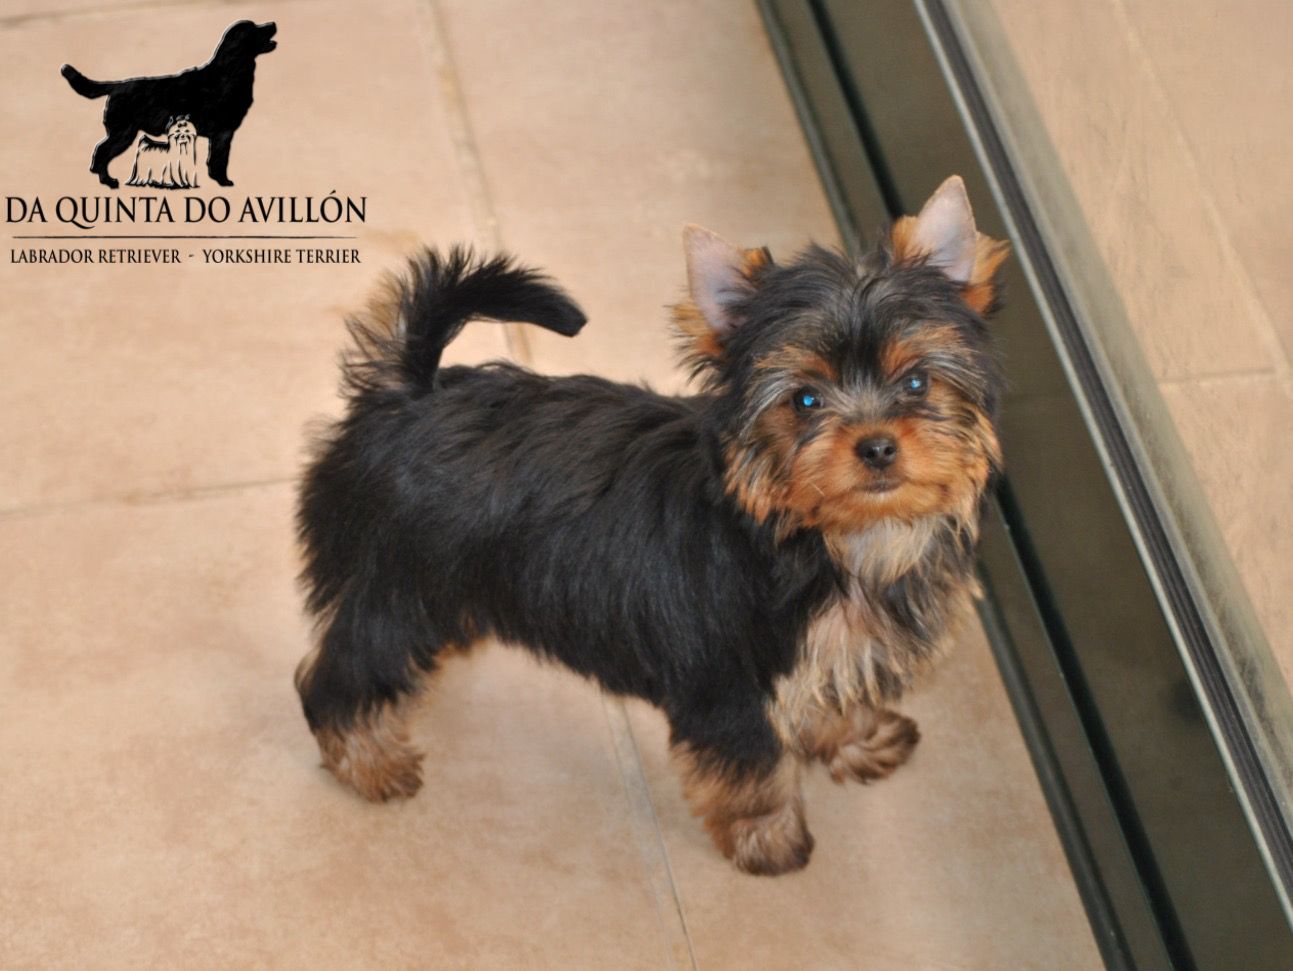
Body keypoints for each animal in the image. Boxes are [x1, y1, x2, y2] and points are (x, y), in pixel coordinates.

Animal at [61, 19, 276, 189]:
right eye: (254, 28)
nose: (273, 23)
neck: (229, 73)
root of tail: (117, 86)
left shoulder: (221, 134)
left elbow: (214, 160)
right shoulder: (223, 132)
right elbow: (219, 160)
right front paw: (223, 181)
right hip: (123, 133)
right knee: (101, 153)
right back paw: (109, 182)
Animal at [294, 176, 1008, 875]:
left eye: (917, 383)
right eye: (805, 400)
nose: (877, 446)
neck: (819, 532)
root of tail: (408, 391)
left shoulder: (830, 650)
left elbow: (832, 694)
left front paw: (856, 739)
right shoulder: (728, 679)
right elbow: (755, 766)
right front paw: (769, 839)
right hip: (397, 581)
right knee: (348, 671)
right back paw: (366, 761)